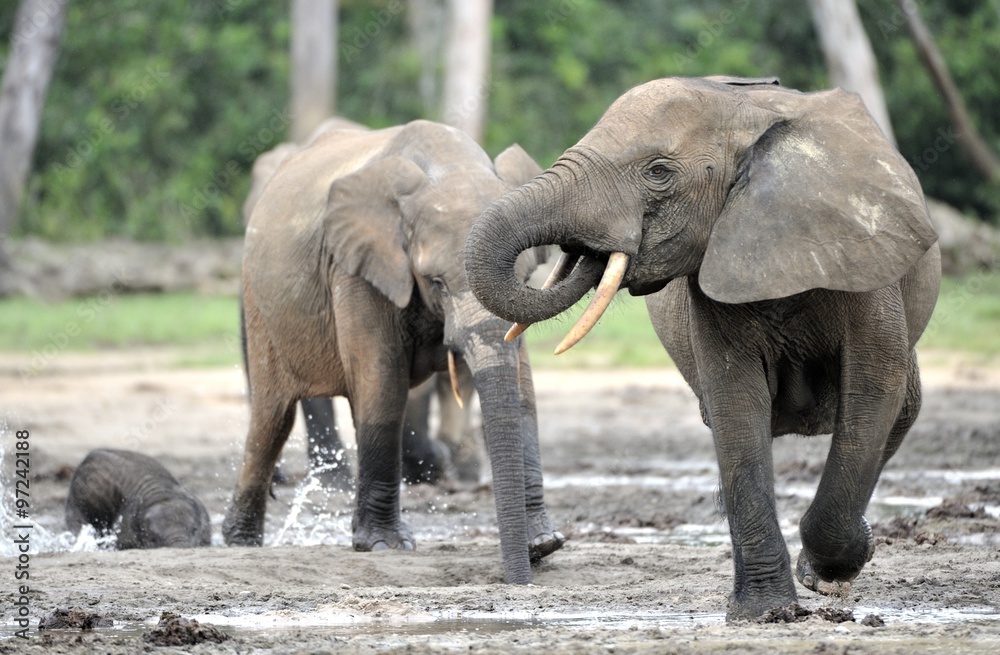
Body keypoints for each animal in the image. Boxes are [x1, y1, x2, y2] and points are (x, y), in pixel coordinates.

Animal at [464, 76, 941, 620]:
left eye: (658, 172)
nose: (588, 250)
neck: (746, 114)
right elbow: (735, 401)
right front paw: (766, 615)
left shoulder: (862, 255)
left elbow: (872, 389)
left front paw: (828, 574)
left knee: (900, 411)